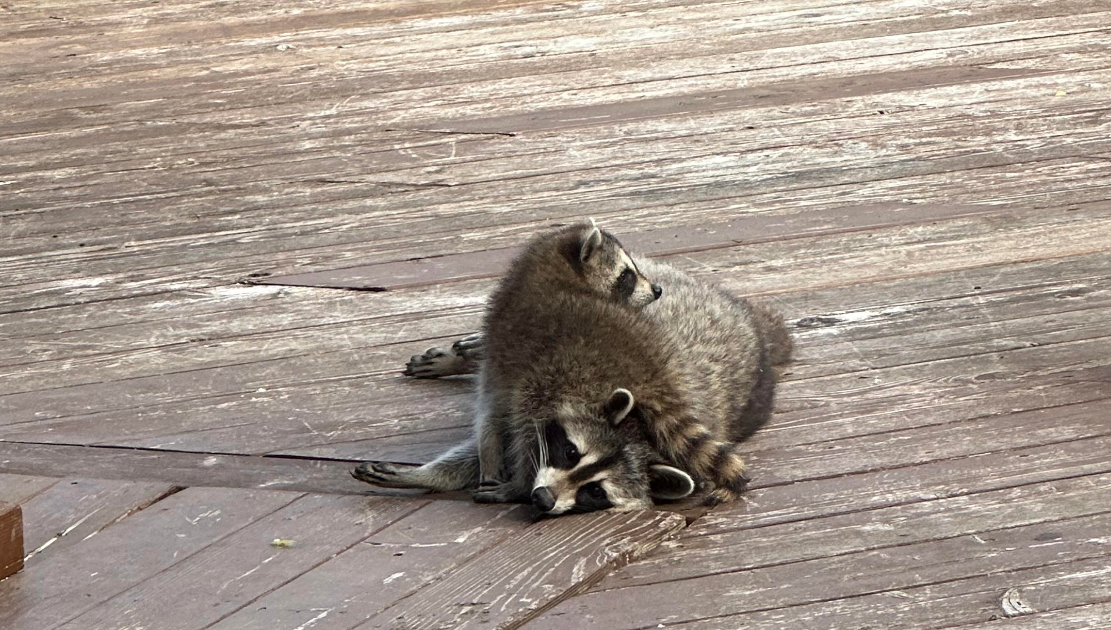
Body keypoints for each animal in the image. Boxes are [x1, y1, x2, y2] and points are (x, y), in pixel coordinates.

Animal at [351, 218, 795, 515]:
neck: (551, 278)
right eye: (627, 275)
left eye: (596, 492)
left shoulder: (512, 352)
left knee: (526, 421)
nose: (656, 290)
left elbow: (494, 417)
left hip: (562, 372)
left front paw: (496, 469)